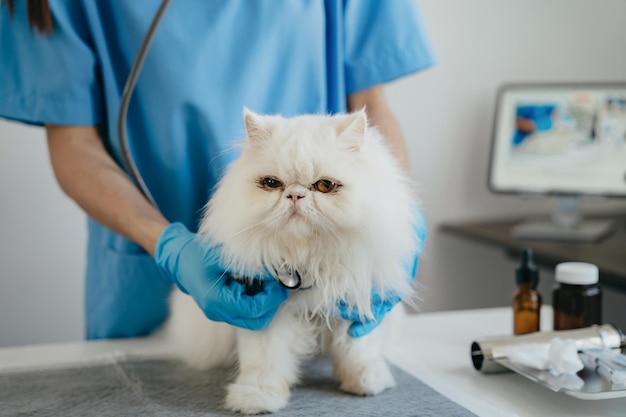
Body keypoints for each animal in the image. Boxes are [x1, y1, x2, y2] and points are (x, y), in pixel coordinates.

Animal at [163, 109, 422, 414]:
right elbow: (263, 361)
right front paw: (256, 398)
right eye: (272, 183)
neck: (307, 257)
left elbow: (358, 348)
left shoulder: (354, 298)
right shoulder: (265, 313)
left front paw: (367, 382)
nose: (296, 194)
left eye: (324, 186)